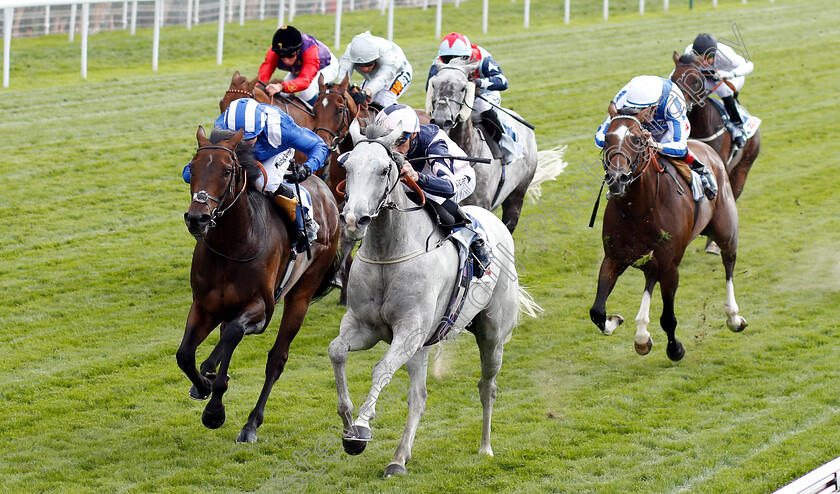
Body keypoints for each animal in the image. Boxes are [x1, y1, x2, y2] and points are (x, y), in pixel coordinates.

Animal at [180, 125, 342, 442]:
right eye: (192, 168)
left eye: (227, 171)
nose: (197, 218)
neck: (232, 245)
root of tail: (326, 189)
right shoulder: (204, 306)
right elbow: (185, 356)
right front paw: (204, 383)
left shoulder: (262, 309)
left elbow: (234, 333)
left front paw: (215, 410)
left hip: (302, 292)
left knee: (276, 358)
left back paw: (251, 423)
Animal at [324, 118, 540, 474]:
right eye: (348, 166)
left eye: (384, 169)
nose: (355, 219)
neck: (389, 252)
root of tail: (495, 222)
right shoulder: (364, 327)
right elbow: (337, 351)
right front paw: (347, 424)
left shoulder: (409, 331)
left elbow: (380, 369)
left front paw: (362, 428)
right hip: (423, 346)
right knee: (419, 398)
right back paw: (399, 458)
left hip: (491, 335)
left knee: (487, 387)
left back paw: (484, 447)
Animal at [592, 114, 748, 360]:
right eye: (607, 138)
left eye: (637, 139)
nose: (617, 178)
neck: (639, 209)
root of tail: (708, 149)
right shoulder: (614, 258)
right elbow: (597, 311)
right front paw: (616, 321)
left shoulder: (670, 267)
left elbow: (667, 318)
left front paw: (675, 349)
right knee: (649, 280)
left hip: (726, 231)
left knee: (729, 263)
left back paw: (733, 317)